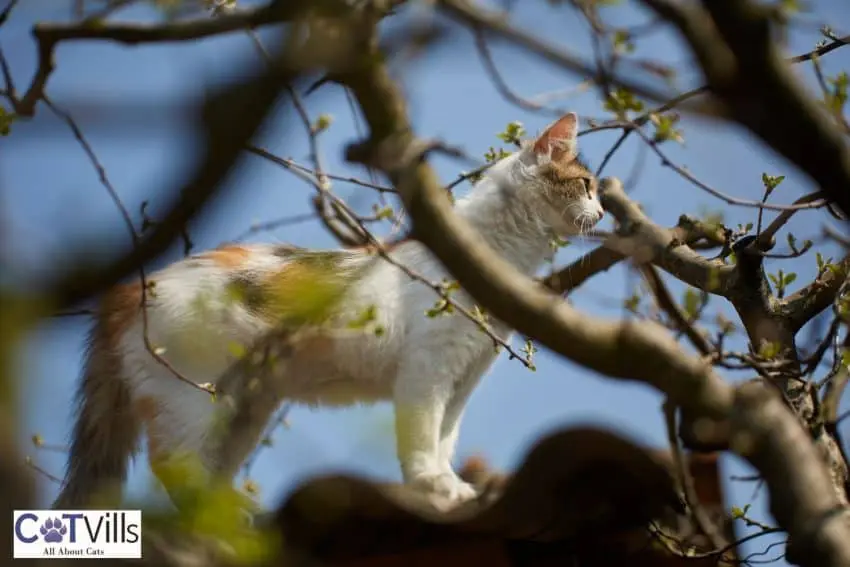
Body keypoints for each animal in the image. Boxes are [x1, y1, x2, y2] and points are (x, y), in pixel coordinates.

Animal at [53, 111, 604, 510]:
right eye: (586, 185)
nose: (603, 212)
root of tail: (129, 287)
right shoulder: (427, 370)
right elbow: (422, 438)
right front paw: (433, 485)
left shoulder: (464, 375)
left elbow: (445, 438)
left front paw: (450, 484)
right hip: (187, 398)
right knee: (177, 467)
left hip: (242, 411)